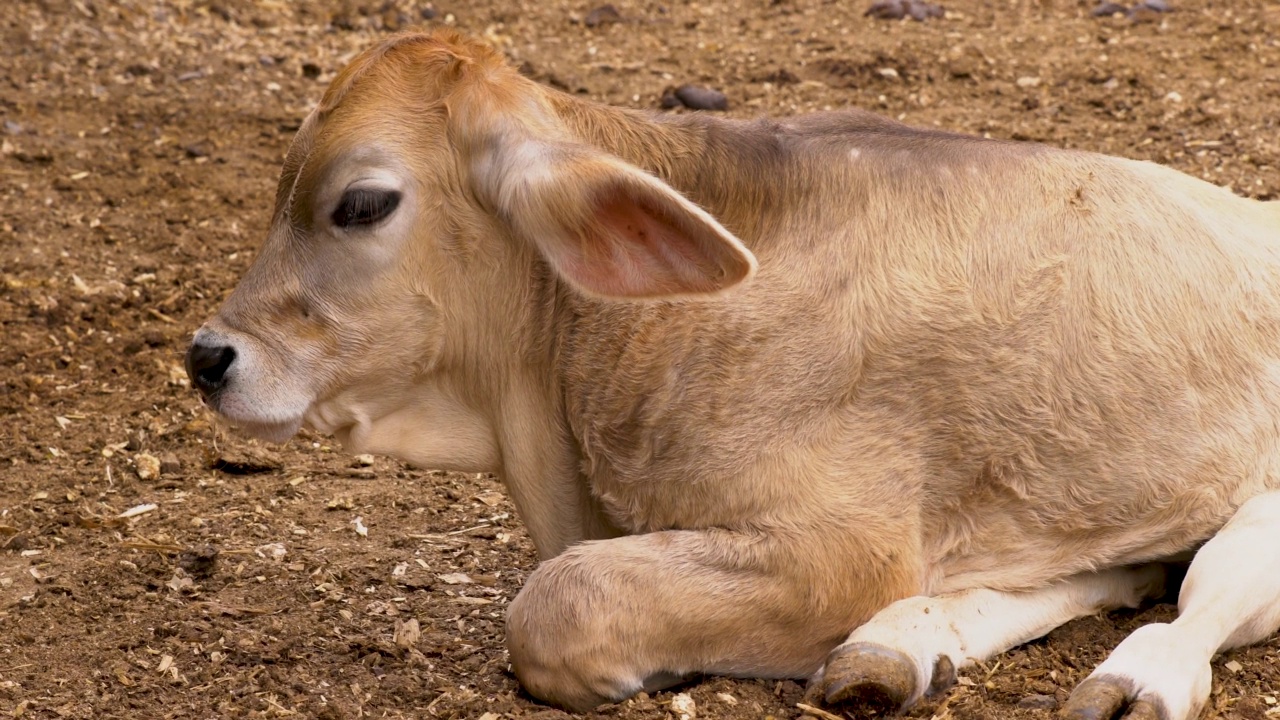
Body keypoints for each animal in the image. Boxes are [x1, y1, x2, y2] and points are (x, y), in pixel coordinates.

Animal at [185, 29, 1280, 717]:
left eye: (363, 203)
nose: (209, 357)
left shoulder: (843, 545)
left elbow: (558, 602)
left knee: (1210, 587)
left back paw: (1134, 681)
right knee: (1119, 569)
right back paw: (891, 652)